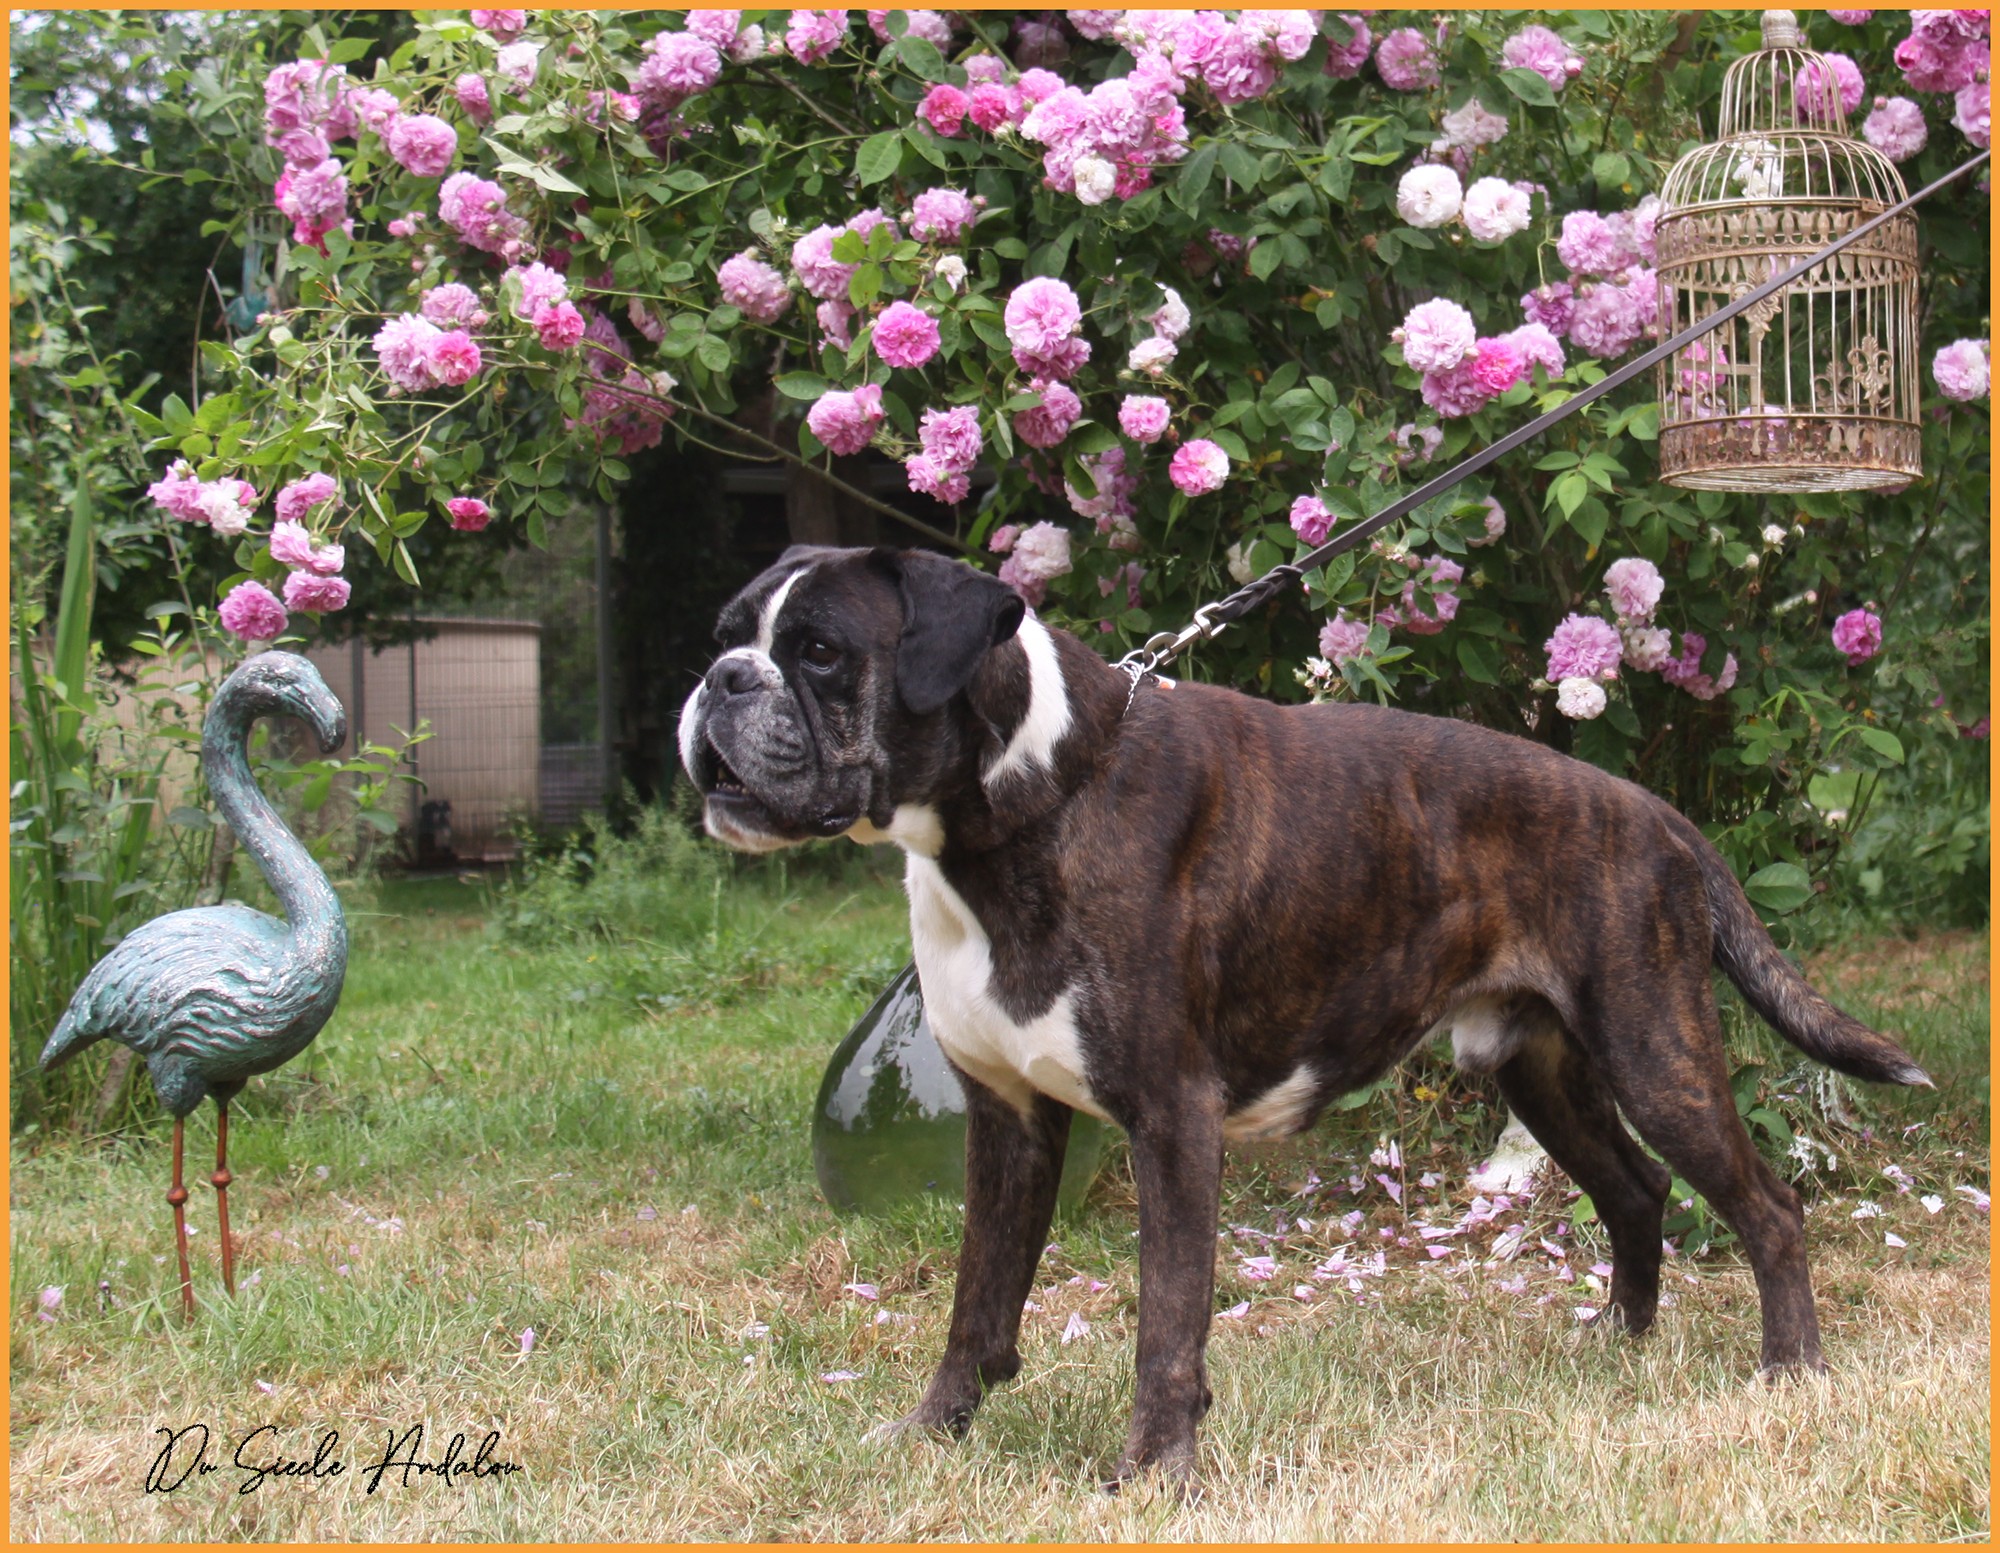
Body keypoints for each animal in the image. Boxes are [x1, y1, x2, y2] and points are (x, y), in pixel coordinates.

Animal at [680, 544, 1932, 1484]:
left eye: (821, 652)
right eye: (726, 632)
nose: (722, 680)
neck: (1024, 800)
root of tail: (1656, 812)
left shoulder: (1169, 1122)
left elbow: (1164, 1322)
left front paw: (1152, 1474)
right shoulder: (1011, 1120)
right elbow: (977, 1303)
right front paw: (933, 1432)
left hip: (1650, 1051)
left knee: (1765, 1205)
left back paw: (1789, 1372)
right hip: (1541, 1066)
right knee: (1634, 1189)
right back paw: (1617, 1346)